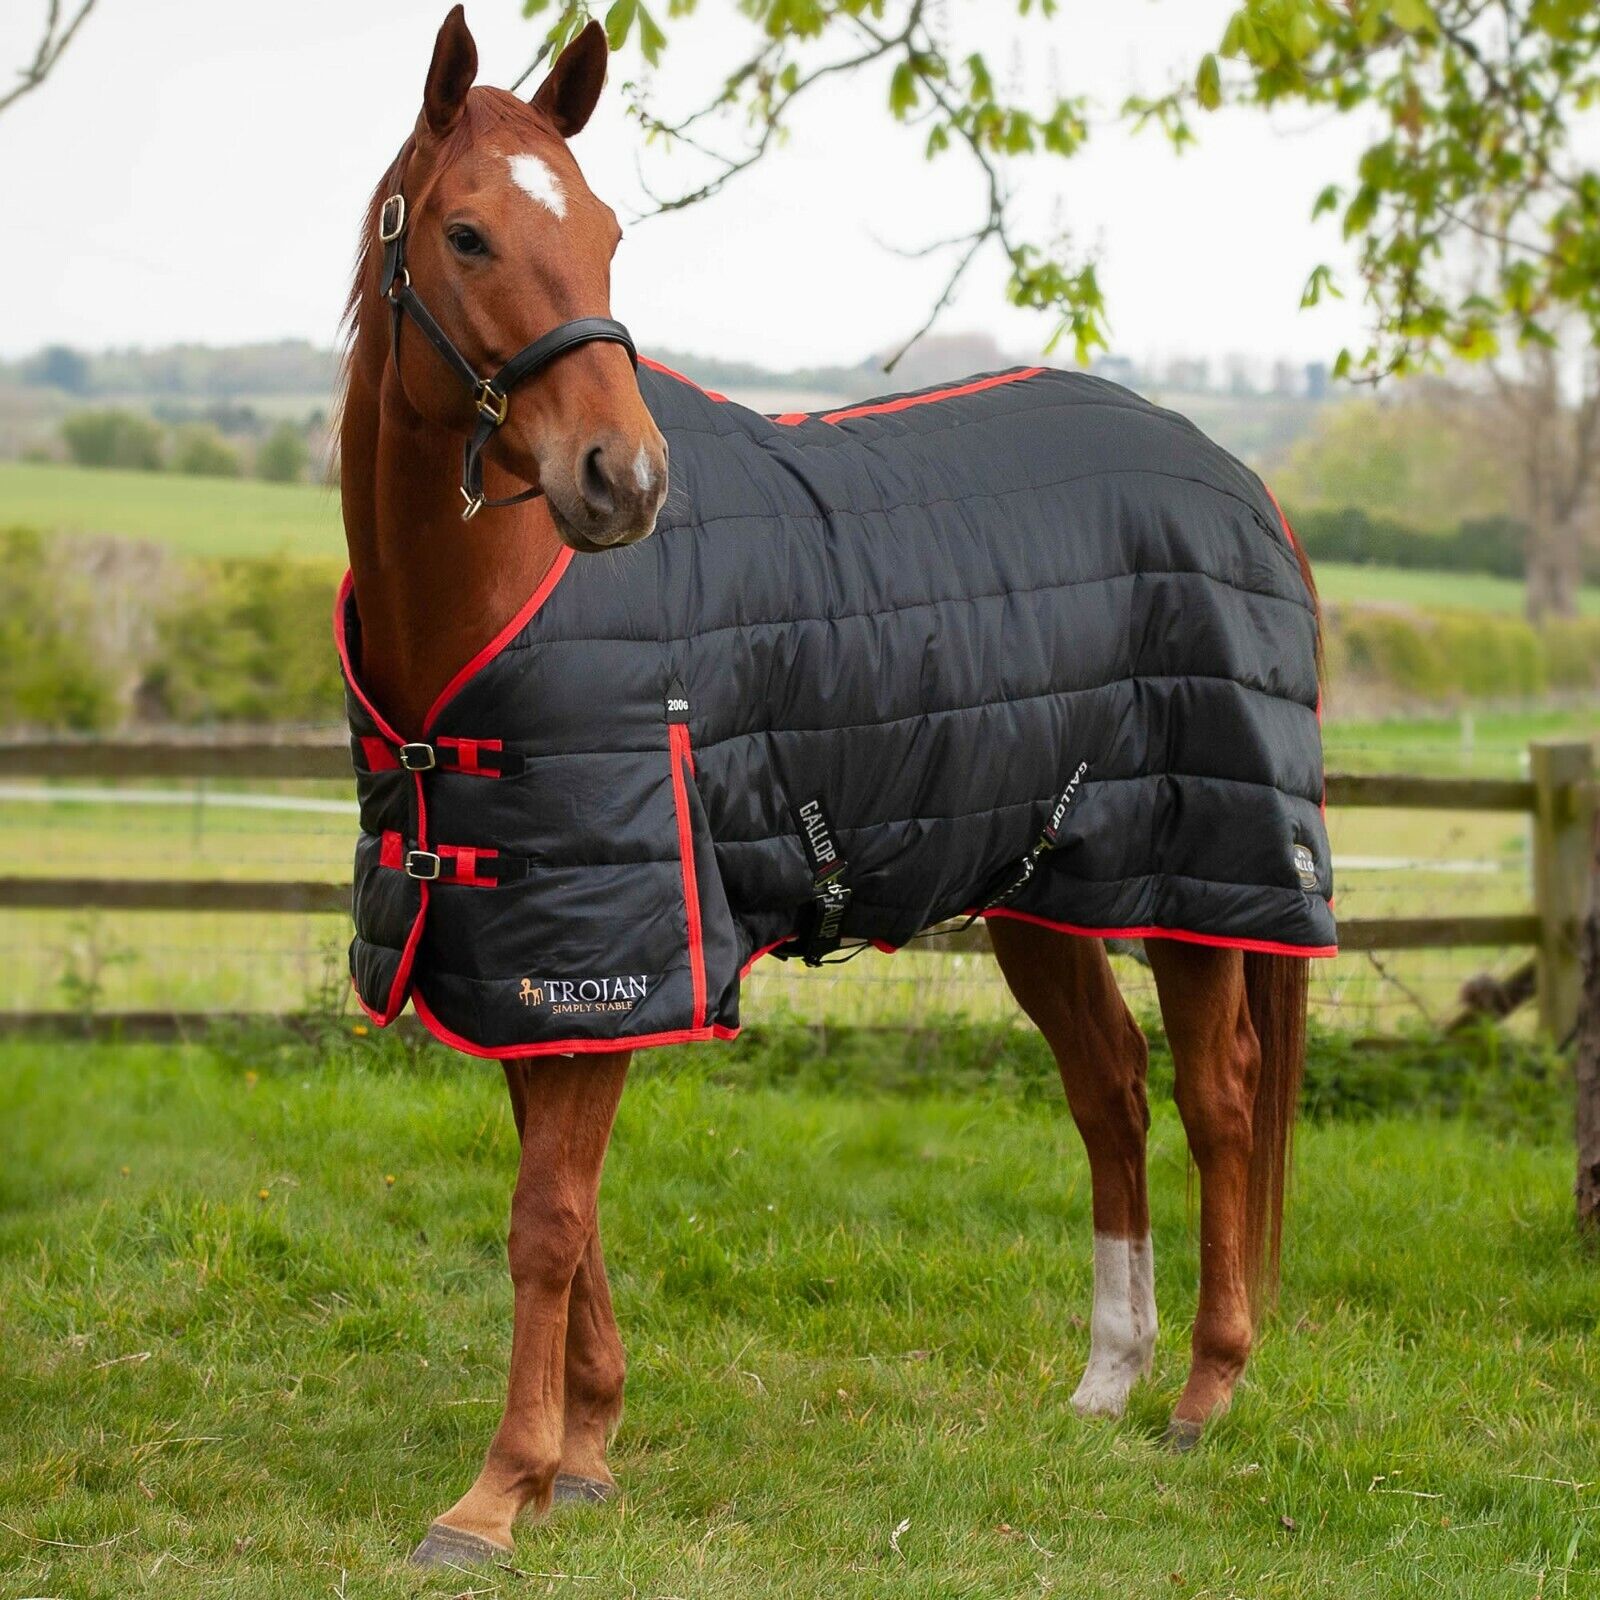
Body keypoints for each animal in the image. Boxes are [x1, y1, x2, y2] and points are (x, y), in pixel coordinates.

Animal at [337, 8, 1324, 1568]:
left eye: (607, 232)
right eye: (469, 233)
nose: (623, 480)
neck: (491, 604)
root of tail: (1238, 480)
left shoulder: (625, 939)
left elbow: (546, 1217)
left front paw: (498, 1493)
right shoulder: (524, 945)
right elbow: (569, 1205)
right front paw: (586, 1450)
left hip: (1198, 878)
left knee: (1218, 1100)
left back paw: (1204, 1393)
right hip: (1041, 883)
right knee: (1109, 1091)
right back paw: (1107, 1380)